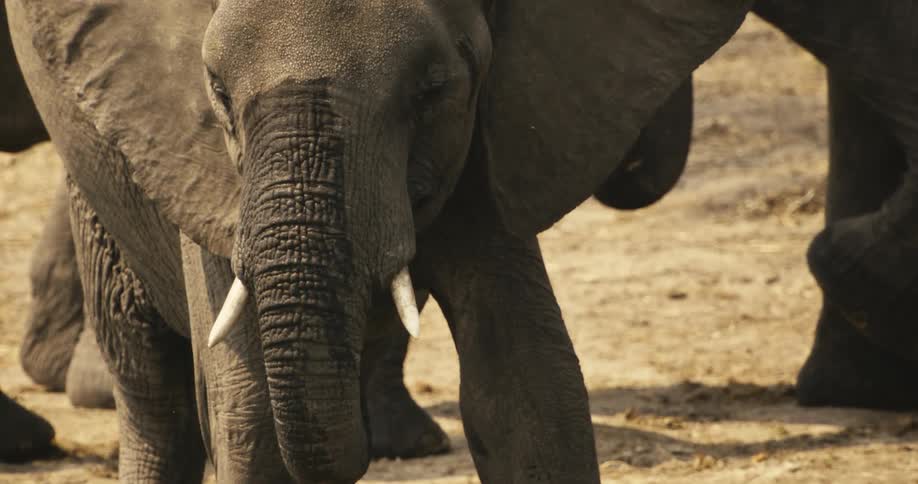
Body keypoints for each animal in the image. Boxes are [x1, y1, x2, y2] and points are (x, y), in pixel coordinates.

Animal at [7, 0, 753, 482]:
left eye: (433, 90)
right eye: (215, 89)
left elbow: (529, 389)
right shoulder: (198, 155)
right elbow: (250, 420)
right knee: (155, 394)